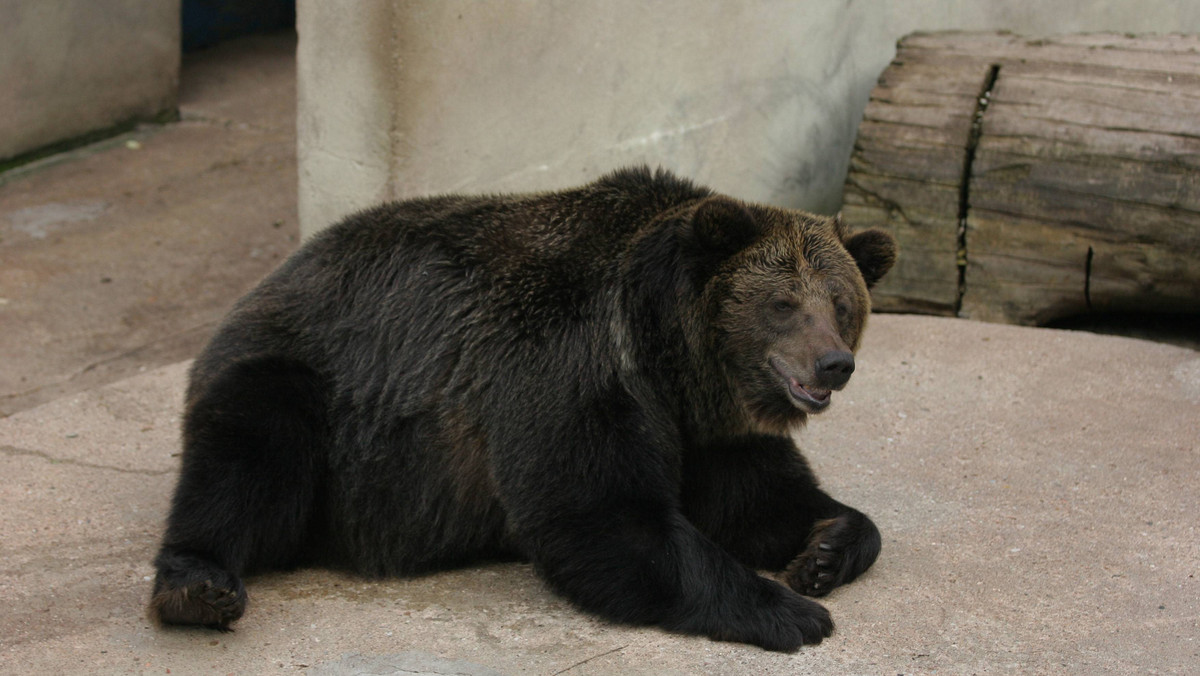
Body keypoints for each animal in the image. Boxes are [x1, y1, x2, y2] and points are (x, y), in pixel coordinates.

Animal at [147, 166, 892, 653]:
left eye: (840, 303)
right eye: (784, 304)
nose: (833, 363)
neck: (668, 352)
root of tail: (260, 286)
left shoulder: (712, 427)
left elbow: (758, 501)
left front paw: (824, 549)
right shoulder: (567, 366)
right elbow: (600, 512)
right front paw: (792, 613)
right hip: (309, 388)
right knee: (249, 453)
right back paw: (196, 587)